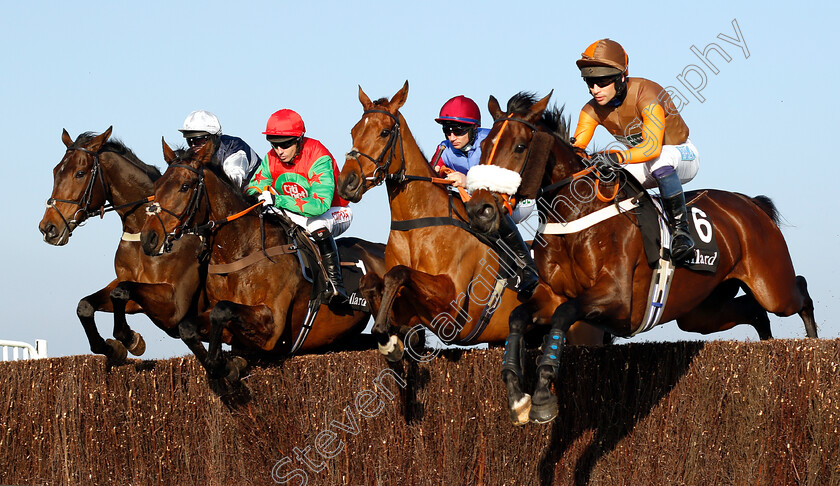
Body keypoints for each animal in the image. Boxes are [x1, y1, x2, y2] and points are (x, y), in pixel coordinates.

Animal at [38, 127, 206, 362]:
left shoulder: (174, 306)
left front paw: (130, 338)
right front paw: (114, 347)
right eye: (55, 172)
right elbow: (87, 305)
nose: (48, 228)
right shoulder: (133, 293)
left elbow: (120, 294)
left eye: (79, 173)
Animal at [139, 139, 386, 390]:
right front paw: (224, 365)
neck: (239, 252)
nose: (149, 238)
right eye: (157, 185)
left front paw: (223, 365)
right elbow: (188, 328)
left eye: (185, 186)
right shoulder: (231, 332)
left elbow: (222, 310)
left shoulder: (272, 329)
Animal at [334, 81, 604, 362]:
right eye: (354, 131)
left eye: (385, 132)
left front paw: (387, 338)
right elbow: (372, 282)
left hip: (583, 332)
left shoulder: (451, 312)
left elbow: (398, 273)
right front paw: (390, 336)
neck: (416, 228)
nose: (347, 182)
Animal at [462, 92, 816, 426]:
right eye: (484, 147)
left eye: (520, 147)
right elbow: (518, 318)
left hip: (772, 286)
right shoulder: (552, 295)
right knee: (754, 311)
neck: (575, 214)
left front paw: (543, 399)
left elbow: (563, 316)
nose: (480, 210)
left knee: (798, 291)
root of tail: (750, 203)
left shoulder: (617, 299)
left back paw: (812, 345)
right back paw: (769, 344)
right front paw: (517, 397)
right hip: (701, 311)